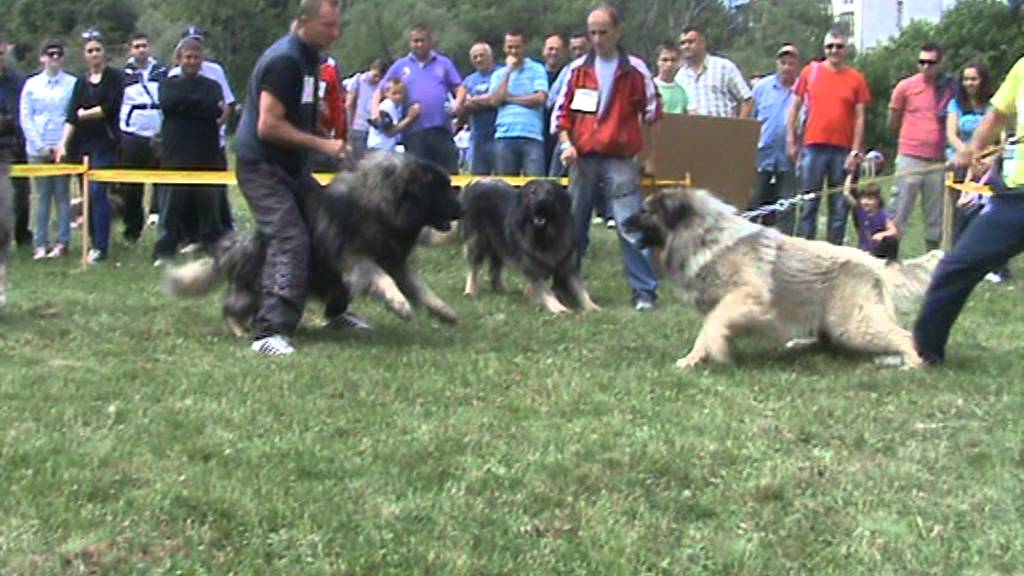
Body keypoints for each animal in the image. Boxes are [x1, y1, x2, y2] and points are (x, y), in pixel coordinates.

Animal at [165, 152, 462, 332]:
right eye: (441, 190)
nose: (462, 209)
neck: (381, 204)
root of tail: (235, 246)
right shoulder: (356, 259)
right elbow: (383, 279)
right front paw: (401, 306)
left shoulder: (396, 262)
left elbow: (421, 288)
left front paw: (443, 311)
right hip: (254, 288)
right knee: (230, 308)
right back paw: (240, 329)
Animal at [458, 179, 598, 313]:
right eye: (533, 193)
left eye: (550, 193)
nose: (541, 202)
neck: (547, 236)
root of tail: (474, 183)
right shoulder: (535, 269)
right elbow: (547, 291)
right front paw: (558, 308)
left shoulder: (570, 267)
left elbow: (581, 290)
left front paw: (592, 306)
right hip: (477, 241)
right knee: (473, 268)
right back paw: (470, 291)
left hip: (500, 245)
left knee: (494, 269)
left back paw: (503, 289)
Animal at [618, 188, 937, 366]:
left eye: (645, 211)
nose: (619, 223)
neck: (705, 236)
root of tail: (876, 264)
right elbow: (706, 330)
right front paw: (694, 359)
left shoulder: (747, 296)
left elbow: (715, 324)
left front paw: (716, 351)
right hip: (834, 323)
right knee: (828, 343)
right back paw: (800, 345)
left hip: (853, 323)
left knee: (902, 336)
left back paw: (912, 363)